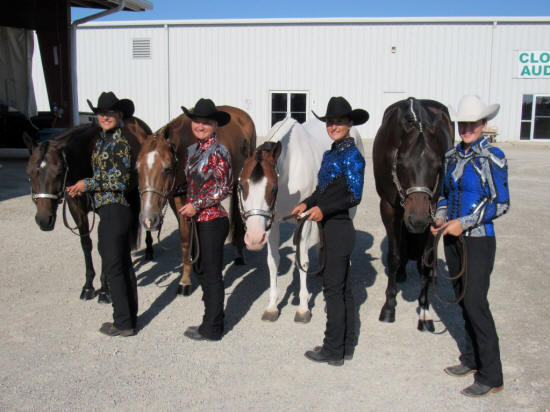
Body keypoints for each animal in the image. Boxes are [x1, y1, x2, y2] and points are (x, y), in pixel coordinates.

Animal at [25, 117, 154, 302]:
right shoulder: (76, 207)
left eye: (58, 172)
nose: (44, 220)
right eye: (29, 174)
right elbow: (86, 244)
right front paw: (88, 286)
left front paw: (105, 290)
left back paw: (149, 250)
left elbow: (103, 246)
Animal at [136, 106, 256, 296]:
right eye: (137, 168)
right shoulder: (177, 199)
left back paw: (239, 254)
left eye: (167, 169)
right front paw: (188, 275)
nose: (148, 219)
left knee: (237, 215)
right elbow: (186, 238)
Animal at [373, 97, 453, 331]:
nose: (417, 221)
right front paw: (389, 307)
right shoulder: (388, 207)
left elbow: (427, 260)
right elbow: (394, 255)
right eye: (400, 163)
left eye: (438, 165)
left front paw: (425, 311)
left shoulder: (435, 209)